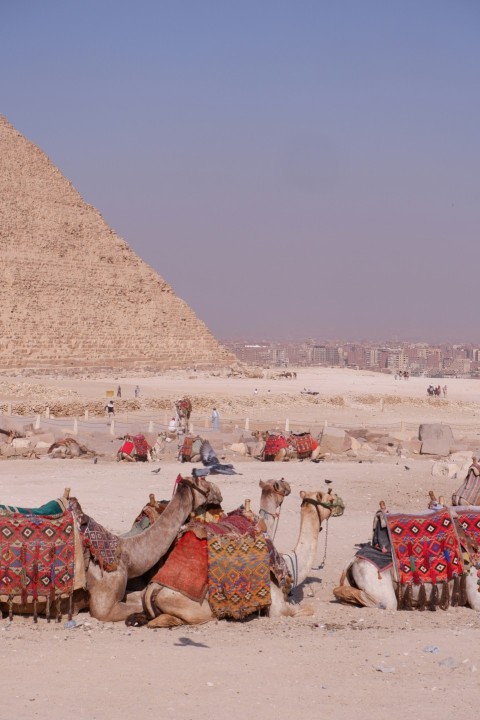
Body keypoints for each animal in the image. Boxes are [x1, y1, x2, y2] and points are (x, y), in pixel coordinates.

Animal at [126, 486, 344, 628]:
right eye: (329, 497)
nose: (341, 504)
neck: (290, 564)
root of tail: (153, 590)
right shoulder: (277, 607)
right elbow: (307, 609)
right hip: (197, 609)